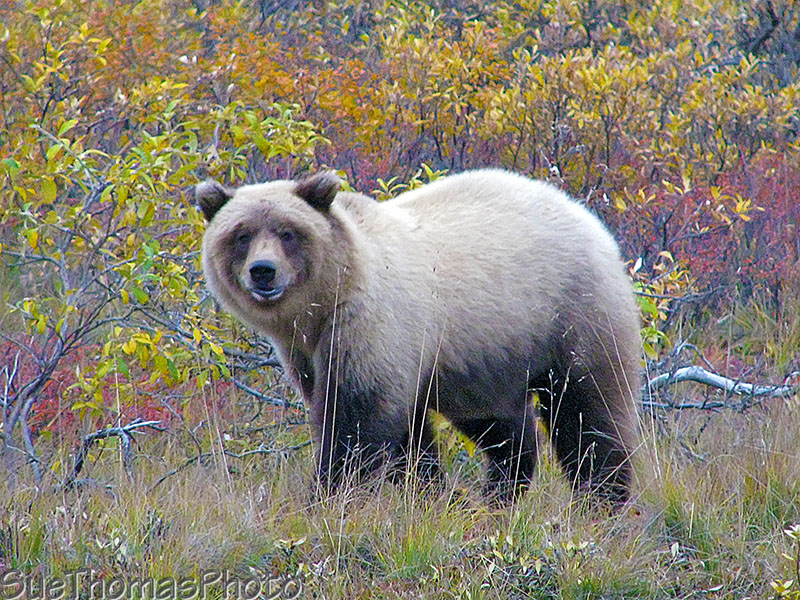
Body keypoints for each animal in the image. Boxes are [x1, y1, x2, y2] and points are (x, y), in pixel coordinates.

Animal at [196, 169, 641, 502]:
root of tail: (588, 217)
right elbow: (407, 436)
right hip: (486, 355)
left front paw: (328, 496)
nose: (263, 271)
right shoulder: (306, 352)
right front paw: (429, 491)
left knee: (588, 412)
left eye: (287, 232)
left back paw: (603, 496)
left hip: (571, 314)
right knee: (501, 424)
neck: (323, 306)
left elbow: (353, 422)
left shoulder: (371, 328)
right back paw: (500, 490)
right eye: (241, 235)